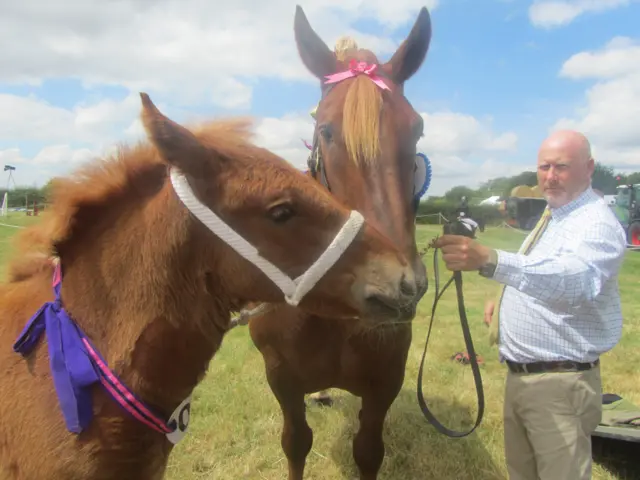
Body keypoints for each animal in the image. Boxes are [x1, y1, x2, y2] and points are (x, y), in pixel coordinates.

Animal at [245, 4, 430, 480]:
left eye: (417, 129)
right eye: (325, 129)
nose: (394, 289)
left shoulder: (384, 384)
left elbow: (368, 451)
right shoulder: (281, 379)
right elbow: (296, 443)